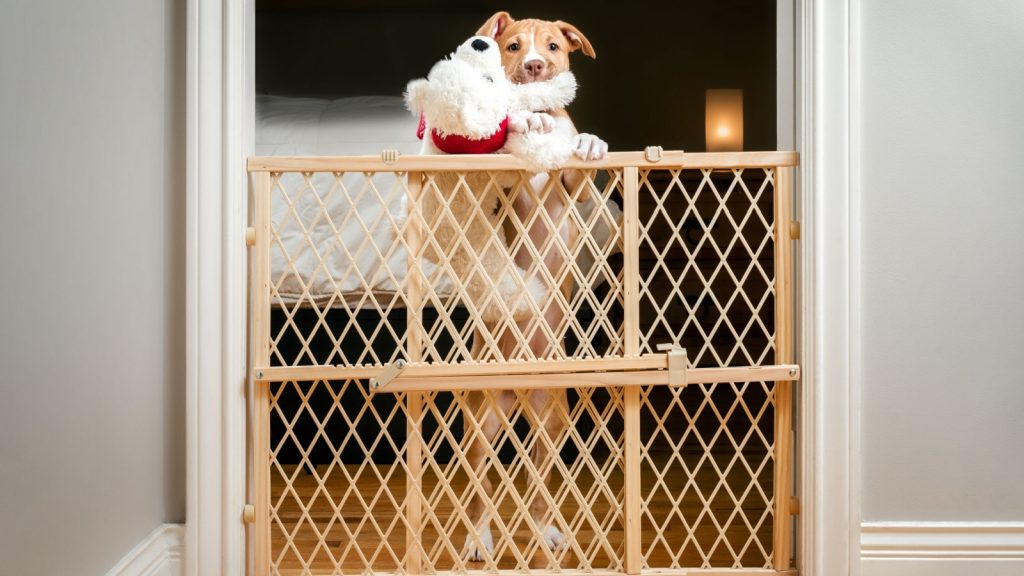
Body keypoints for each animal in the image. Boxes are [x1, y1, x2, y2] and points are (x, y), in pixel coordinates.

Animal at [460, 8, 602, 561]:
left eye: (555, 47)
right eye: (514, 45)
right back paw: (479, 540)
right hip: (482, 420)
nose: (538, 66)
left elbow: (577, 165)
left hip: (552, 419)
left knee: (540, 486)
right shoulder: (501, 190)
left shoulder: (574, 188)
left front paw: (587, 142)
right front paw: (527, 123)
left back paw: (546, 532)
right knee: (479, 489)